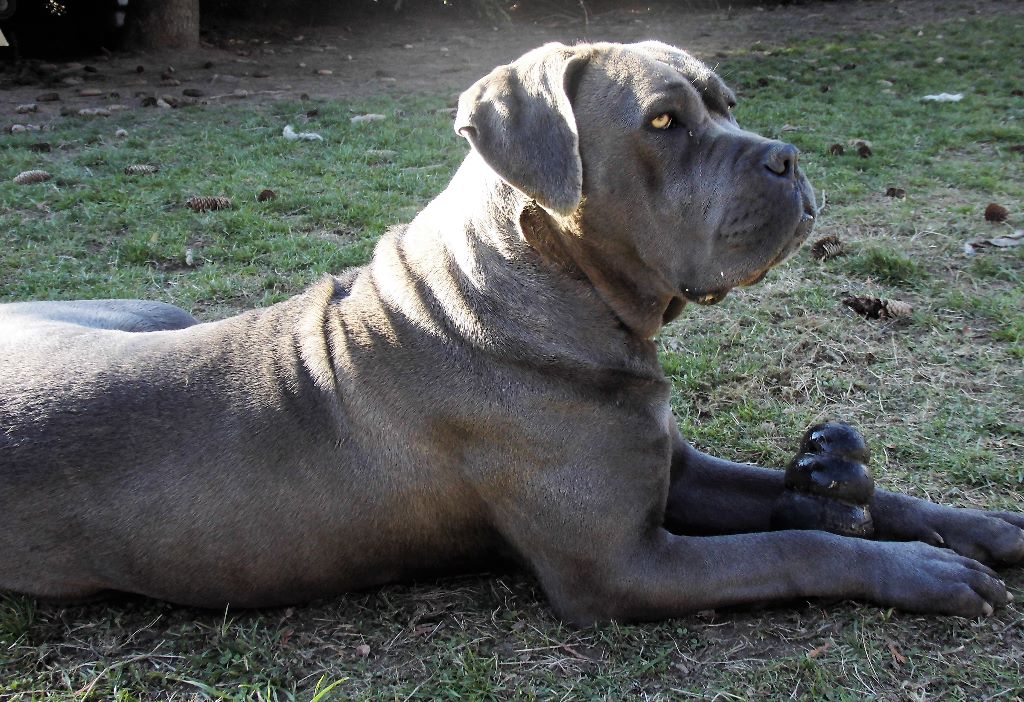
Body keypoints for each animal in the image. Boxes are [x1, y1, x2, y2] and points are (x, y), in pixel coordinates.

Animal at [0, 41, 1019, 626]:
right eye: (664, 120)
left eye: (728, 103)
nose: (789, 158)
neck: (552, 286)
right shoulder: (623, 568)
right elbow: (791, 548)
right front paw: (925, 573)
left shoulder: (675, 471)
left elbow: (821, 499)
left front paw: (973, 526)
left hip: (158, 314)